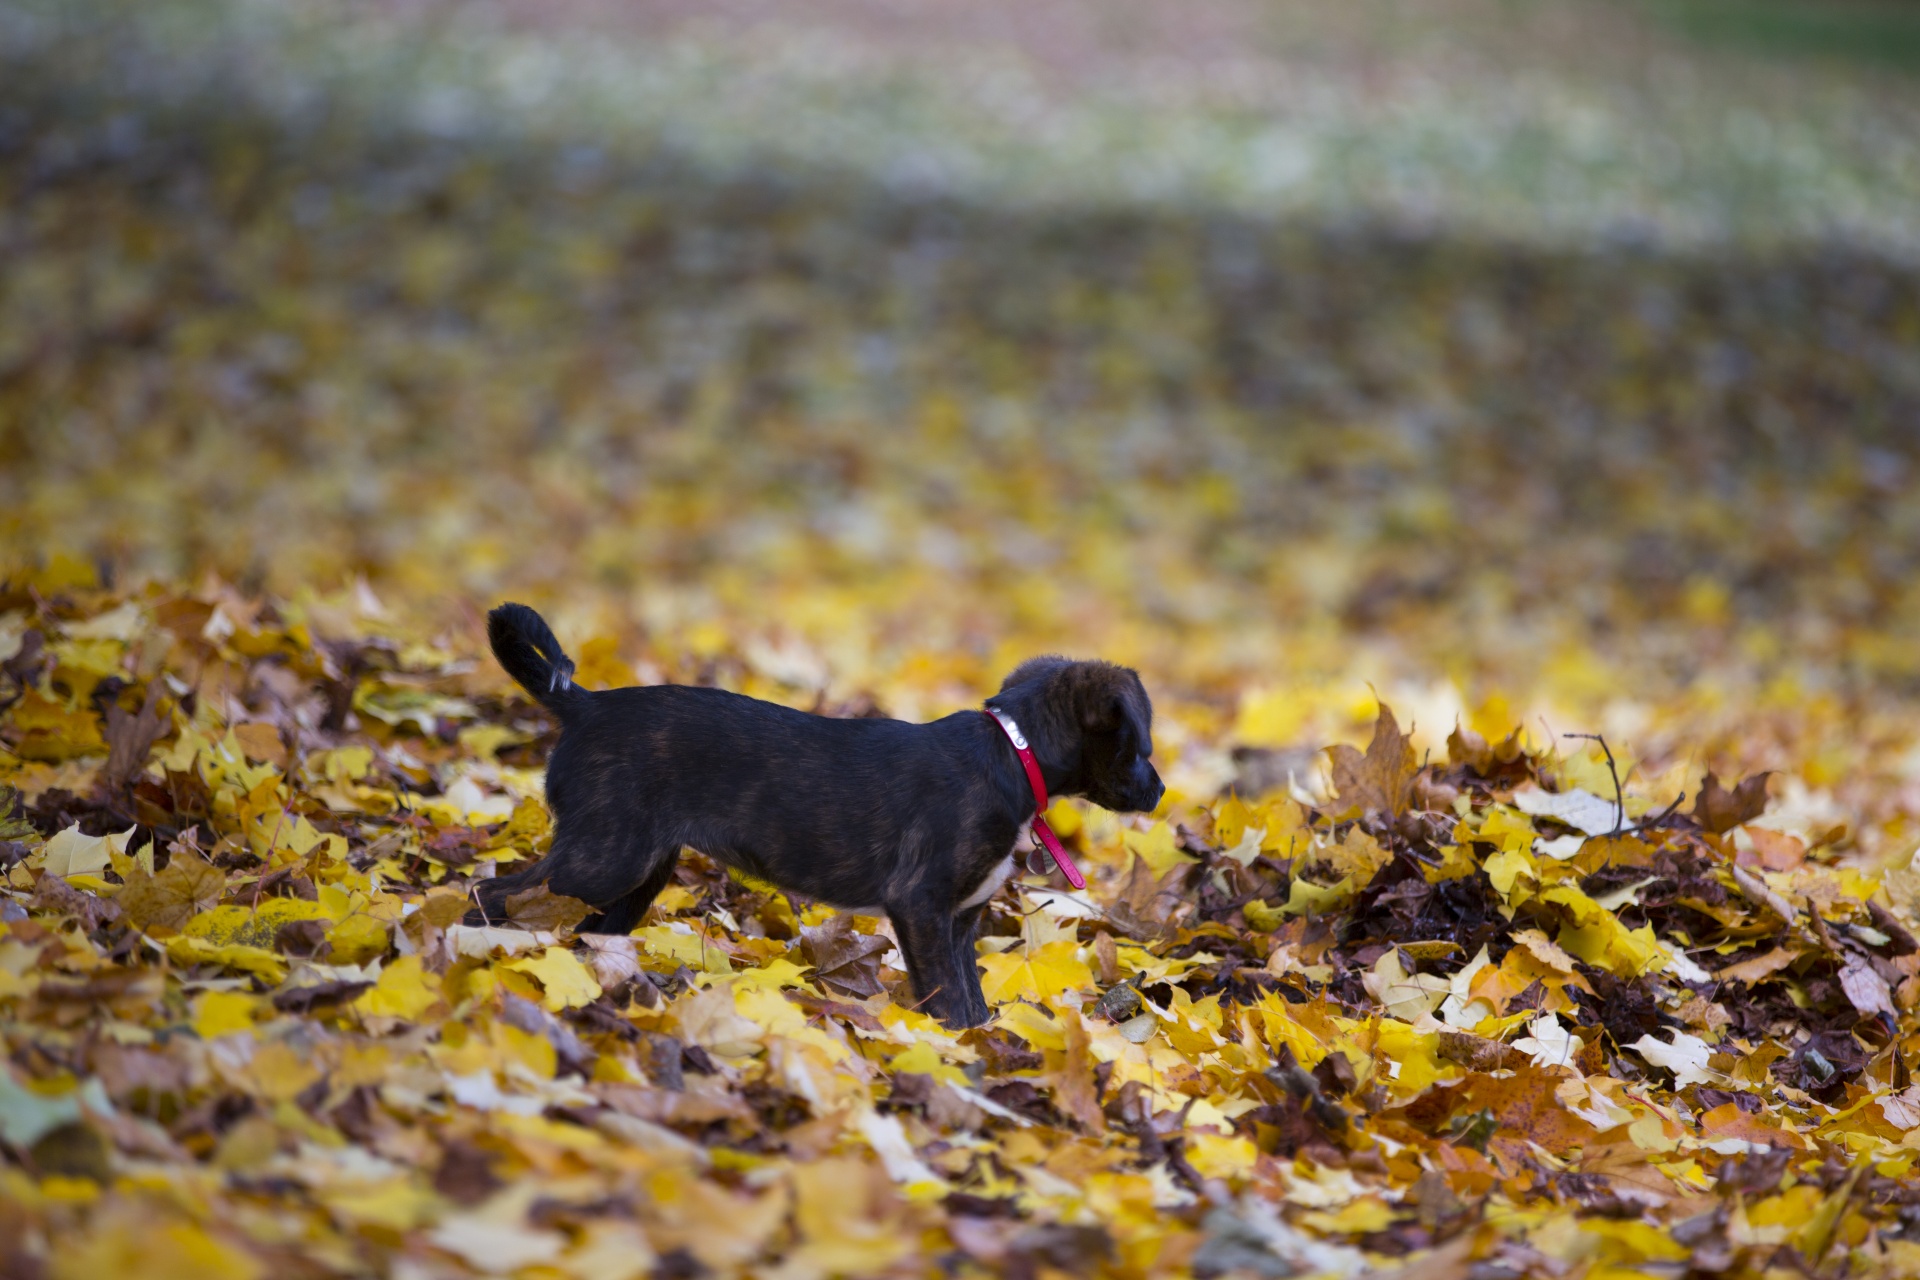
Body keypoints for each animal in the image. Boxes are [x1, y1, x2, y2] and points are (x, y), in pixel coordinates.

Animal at [472, 602, 1159, 1028]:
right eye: (1139, 744)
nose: (1159, 792)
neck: (1012, 753)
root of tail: (583, 706)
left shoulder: (961, 920)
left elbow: (972, 1001)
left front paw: (983, 1048)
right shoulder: (921, 905)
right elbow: (945, 1002)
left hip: (637, 869)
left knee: (591, 929)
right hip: (605, 857)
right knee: (495, 891)